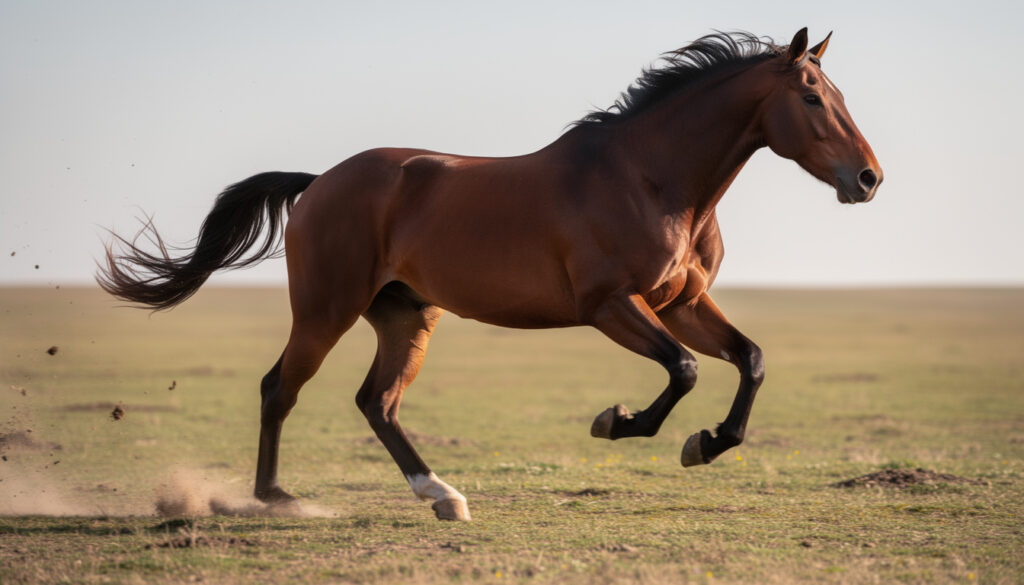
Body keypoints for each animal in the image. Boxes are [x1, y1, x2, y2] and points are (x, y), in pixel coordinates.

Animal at [98, 28, 882, 521]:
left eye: (838, 94)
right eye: (812, 97)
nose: (869, 179)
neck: (652, 179)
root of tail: (320, 182)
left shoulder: (683, 302)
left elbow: (750, 358)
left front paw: (707, 443)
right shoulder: (611, 304)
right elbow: (684, 370)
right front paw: (619, 423)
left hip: (406, 315)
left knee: (376, 402)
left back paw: (441, 494)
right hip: (326, 310)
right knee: (279, 389)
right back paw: (277, 498)